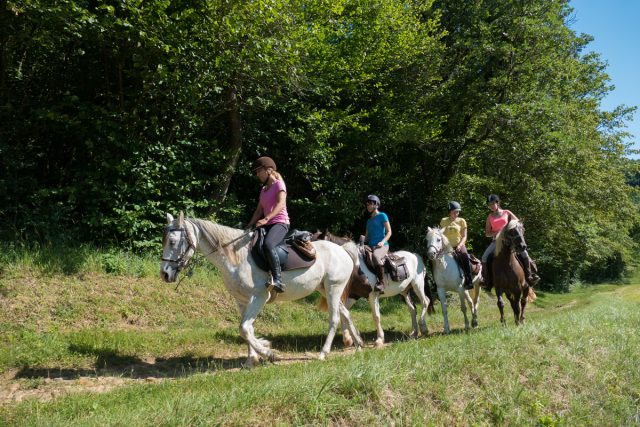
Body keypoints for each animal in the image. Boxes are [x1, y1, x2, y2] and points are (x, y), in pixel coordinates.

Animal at [160, 212, 362, 366]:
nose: (164, 274)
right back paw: (358, 343)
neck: (237, 257)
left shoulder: (259, 297)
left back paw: (323, 353)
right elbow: (246, 329)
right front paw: (252, 358)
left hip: (333, 288)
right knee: (345, 313)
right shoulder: (242, 300)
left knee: (334, 318)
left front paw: (267, 352)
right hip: (324, 289)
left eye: (172, 241)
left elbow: (244, 328)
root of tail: (343, 250)